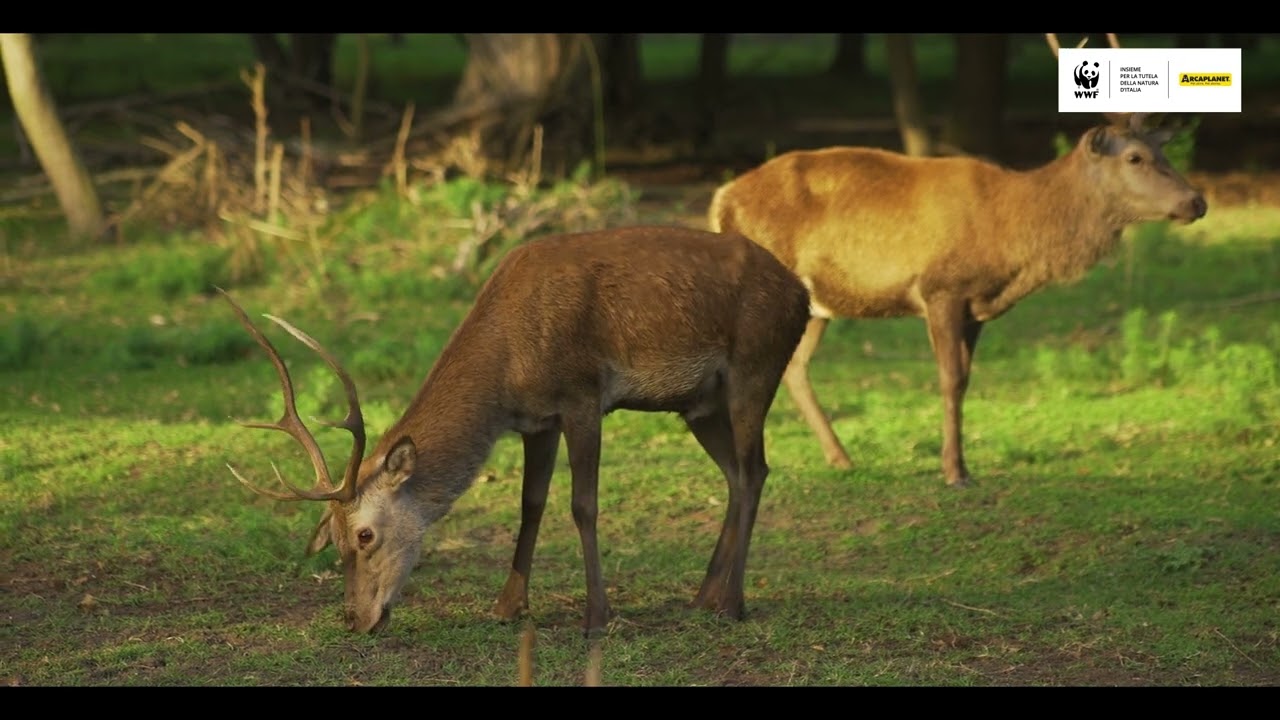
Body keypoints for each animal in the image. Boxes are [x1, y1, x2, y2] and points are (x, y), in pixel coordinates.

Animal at [219, 225, 811, 637]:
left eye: (365, 535)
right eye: (334, 541)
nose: (354, 619)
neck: (508, 370)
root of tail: (802, 294)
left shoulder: (582, 395)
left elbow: (583, 505)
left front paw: (597, 616)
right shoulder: (536, 420)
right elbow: (530, 505)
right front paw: (507, 607)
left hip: (755, 366)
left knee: (755, 470)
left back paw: (732, 603)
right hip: (699, 404)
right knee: (735, 474)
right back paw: (703, 596)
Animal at [708, 40, 1207, 488]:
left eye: (1163, 153)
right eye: (1135, 157)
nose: (1196, 201)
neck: (1009, 234)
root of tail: (721, 199)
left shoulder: (977, 306)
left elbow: (966, 379)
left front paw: (963, 465)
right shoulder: (941, 288)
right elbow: (949, 378)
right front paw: (953, 472)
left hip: (816, 304)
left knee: (795, 367)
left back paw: (841, 458)